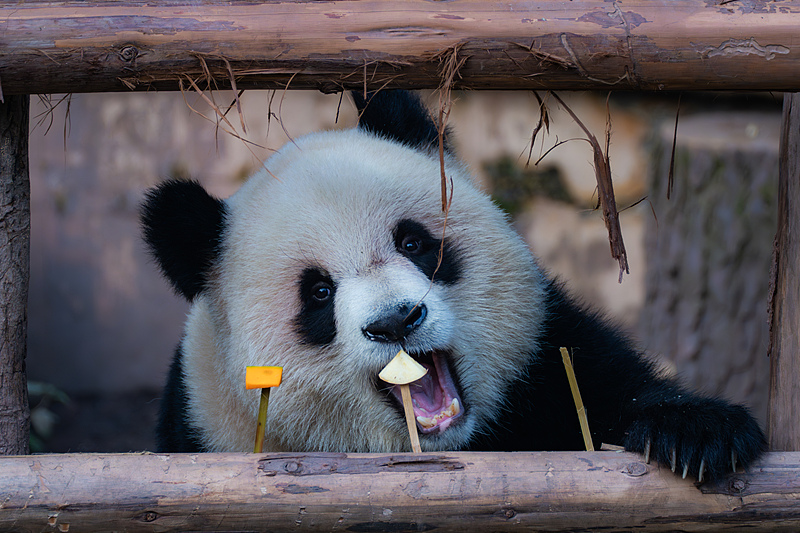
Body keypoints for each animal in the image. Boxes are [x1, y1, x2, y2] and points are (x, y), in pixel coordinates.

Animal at [141, 89, 764, 480]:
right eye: (318, 292)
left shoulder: (544, 353)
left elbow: (615, 387)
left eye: (413, 243)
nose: (396, 320)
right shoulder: (205, 425)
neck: (455, 445)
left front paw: (697, 436)